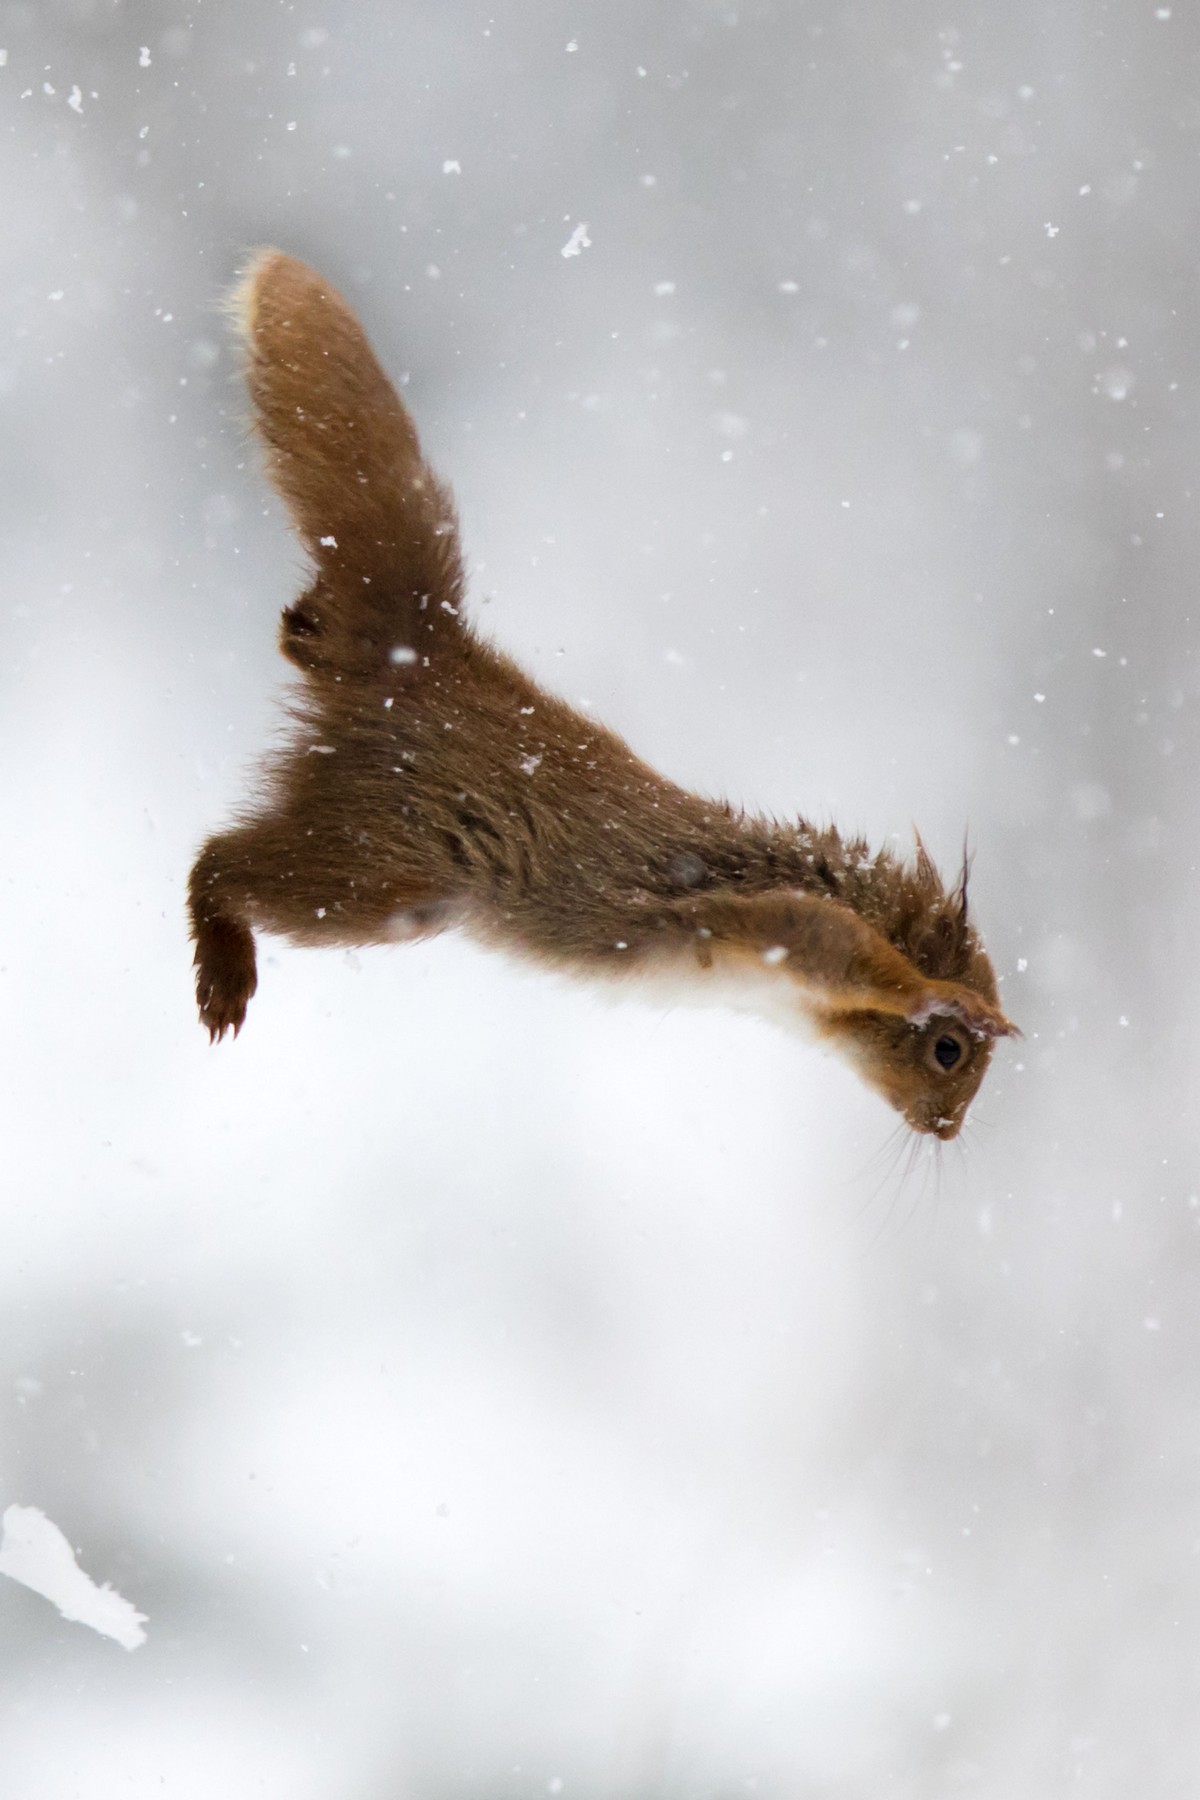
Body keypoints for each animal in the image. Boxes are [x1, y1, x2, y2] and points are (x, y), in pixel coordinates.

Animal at [188, 250, 1014, 1137]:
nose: (944, 1129)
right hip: (389, 864)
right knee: (219, 862)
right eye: (949, 1053)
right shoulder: (761, 918)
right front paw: (935, 992)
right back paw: (222, 975)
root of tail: (412, 659)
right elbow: (851, 953)